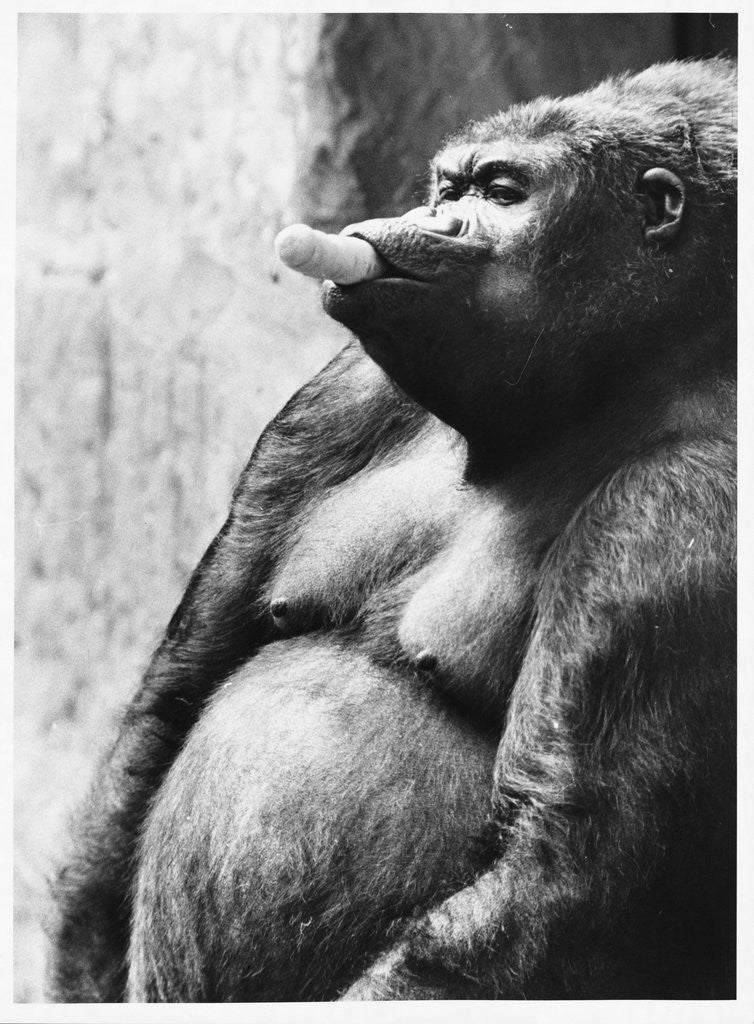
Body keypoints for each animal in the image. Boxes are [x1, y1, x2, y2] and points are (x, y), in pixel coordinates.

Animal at [50, 58, 736, 1001]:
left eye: (502, 192)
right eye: (449, 187)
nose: (424, 219)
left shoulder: (681, 510)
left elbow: (558, 872)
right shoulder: (342, 389)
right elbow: (170, 702)